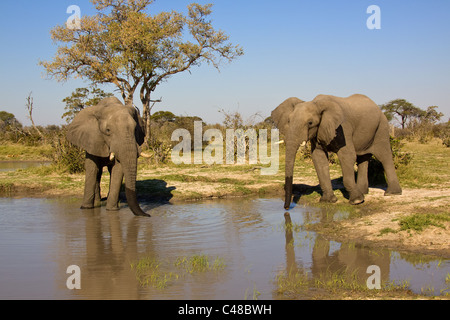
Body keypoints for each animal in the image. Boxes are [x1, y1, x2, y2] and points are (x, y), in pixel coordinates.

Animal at [272, 94, 402, 210]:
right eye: (288, 121)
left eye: (310, 123)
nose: (286, 208)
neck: (316, 103)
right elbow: (319, 158)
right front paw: (328, 201)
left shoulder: (343, 128)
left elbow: (347, 156)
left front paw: (356, 201)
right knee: (363, 158)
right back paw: (363, 191)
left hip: (381, 127)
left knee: (384, 156)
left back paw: (391, 193)